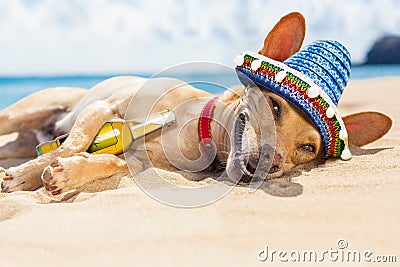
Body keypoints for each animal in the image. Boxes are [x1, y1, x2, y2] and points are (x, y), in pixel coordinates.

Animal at [0, 12, 392, 195]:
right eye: (275, 107)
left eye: (309, 148)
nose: (271, 164)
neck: (195, 129)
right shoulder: (105, 110)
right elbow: (74, 143)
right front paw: (26, 175)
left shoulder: (136, 159)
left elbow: (107, 162)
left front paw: (67, 173)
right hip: (20, 114)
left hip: (20, 141)